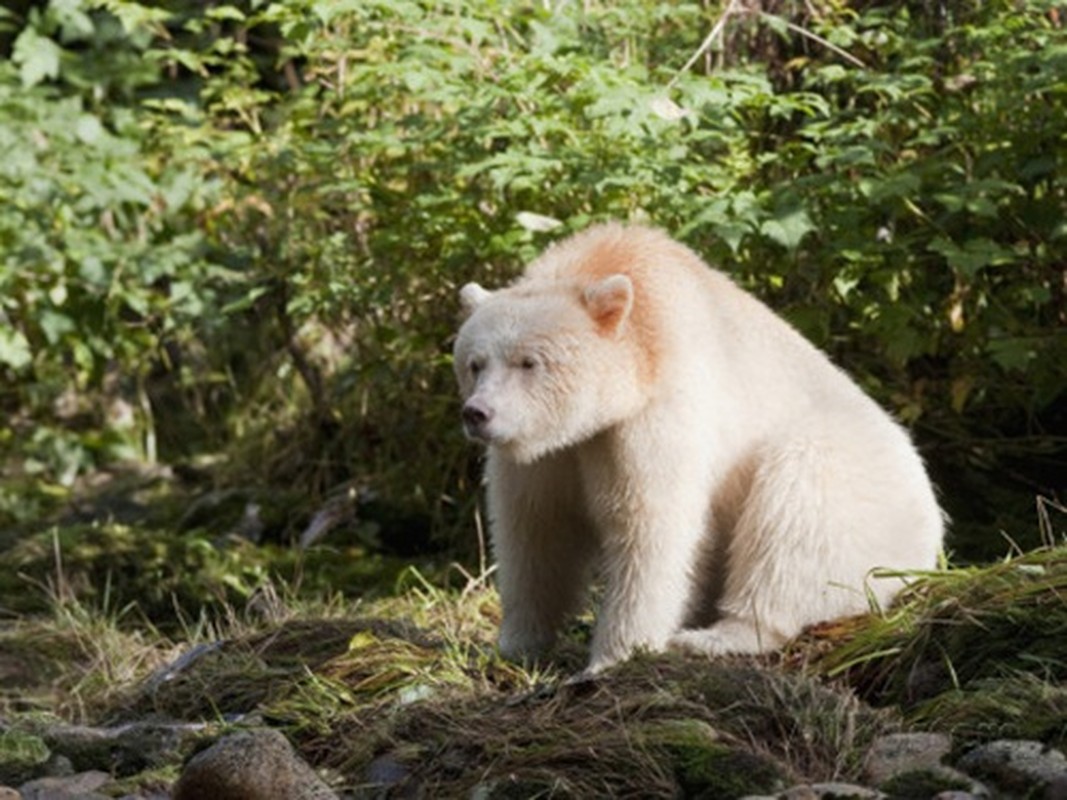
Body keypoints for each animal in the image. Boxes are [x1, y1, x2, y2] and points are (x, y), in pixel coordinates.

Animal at [450, 222, 943, 674]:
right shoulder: (549, 455)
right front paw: (516, 643)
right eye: (475, 363)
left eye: (529, 362)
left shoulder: (657, 413)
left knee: (794, 513)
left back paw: (714, 637)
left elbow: (651, 526)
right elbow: (535, 527)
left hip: (849, 483)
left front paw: (614, 657)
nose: (478, 413)